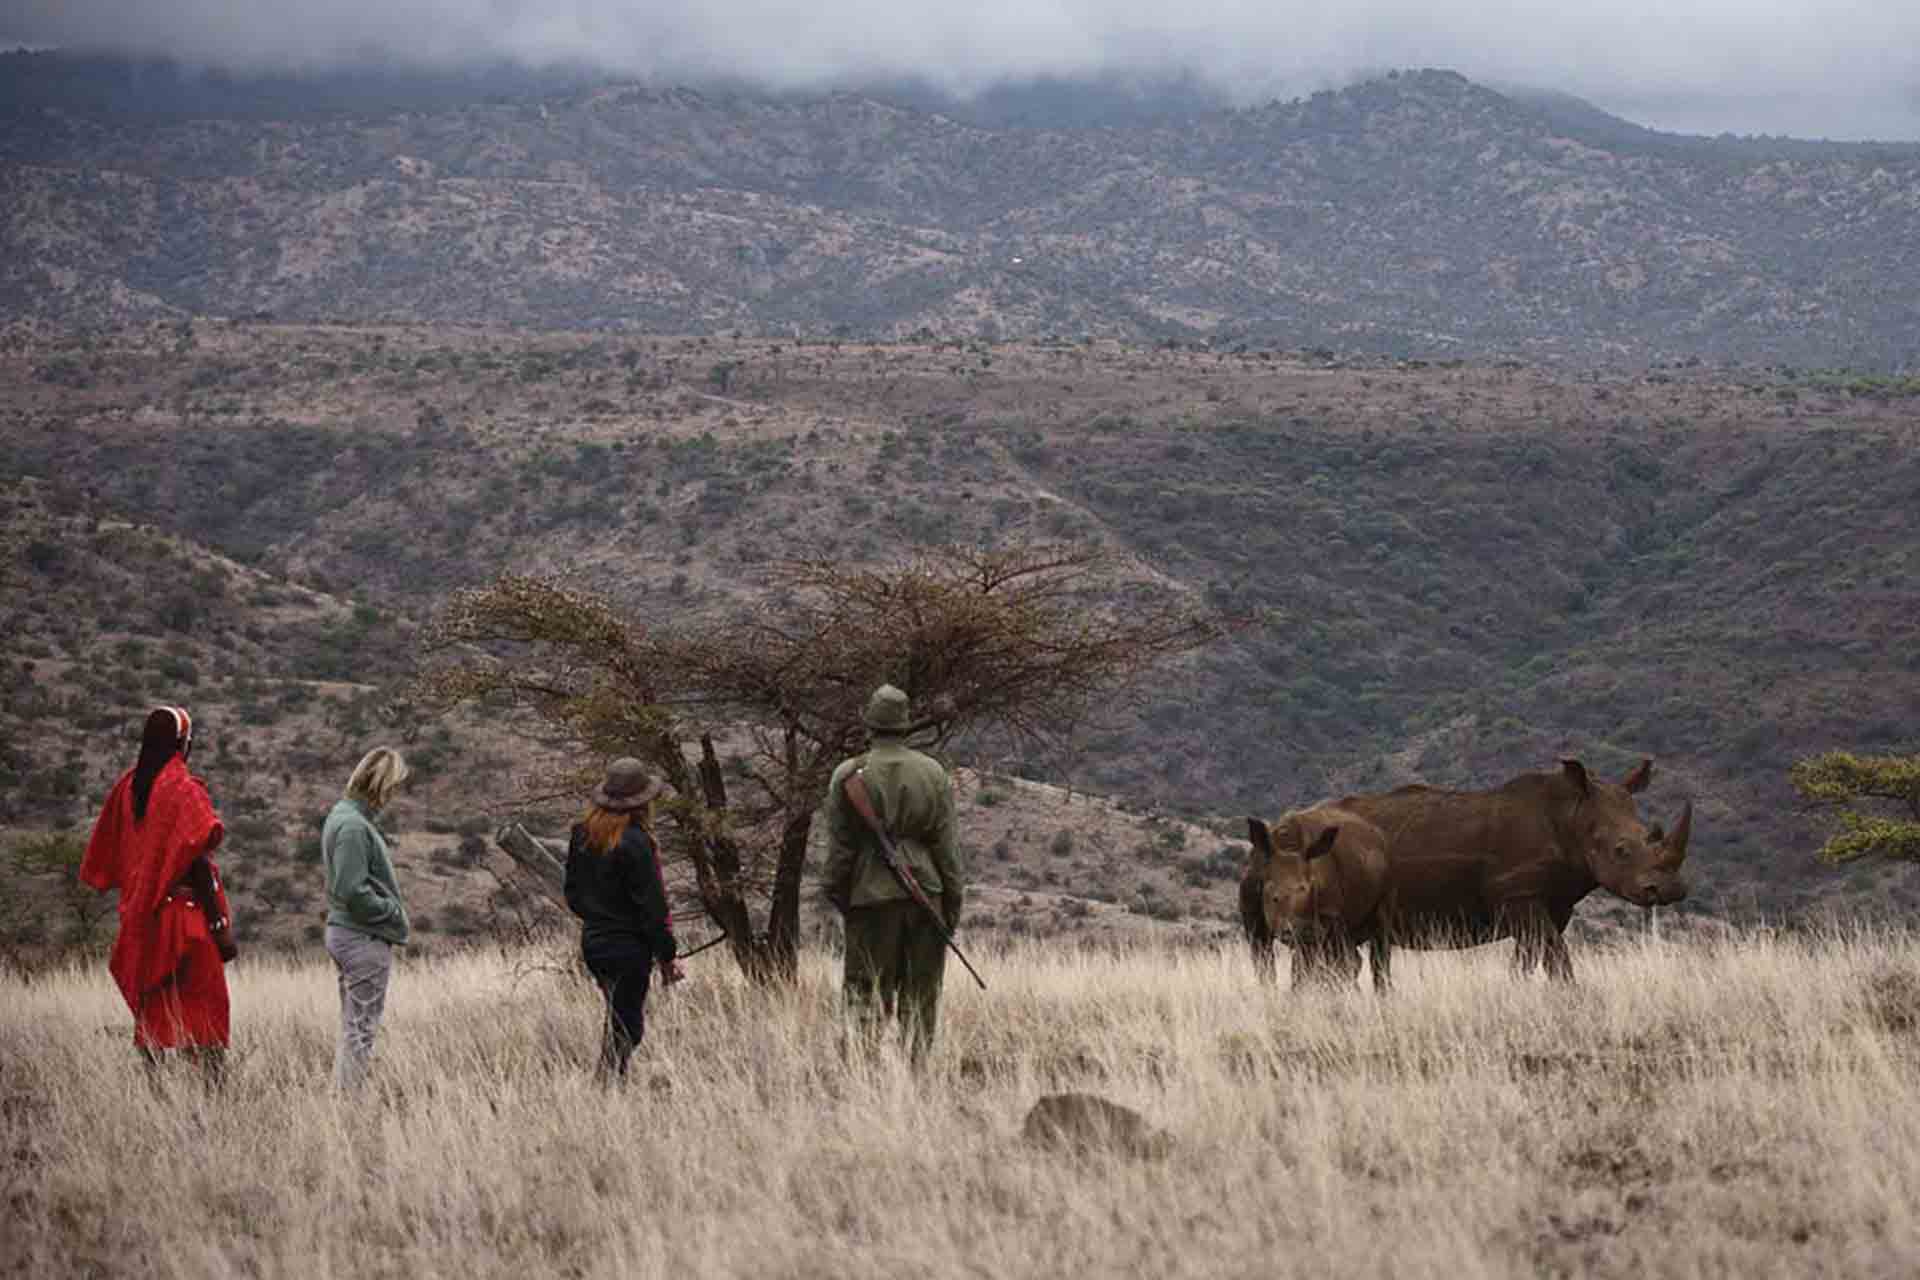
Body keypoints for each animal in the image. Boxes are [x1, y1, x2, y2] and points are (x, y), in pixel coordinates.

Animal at [1244, 804, 1391, 989]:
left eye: (1305, 889)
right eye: (1272, 895)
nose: (1288, 930)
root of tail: (1378, 836)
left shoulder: (1326, 920)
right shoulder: (1254, 923)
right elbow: (1265, 966)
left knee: (1376, 944)